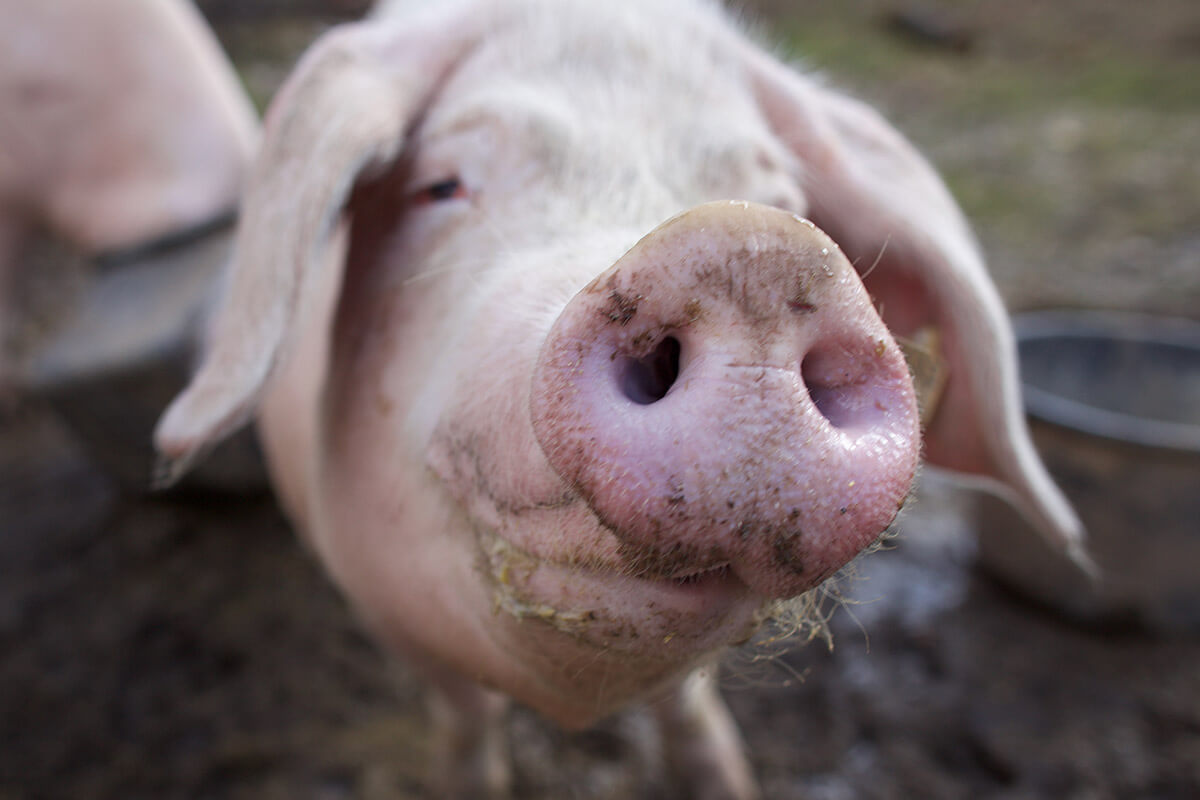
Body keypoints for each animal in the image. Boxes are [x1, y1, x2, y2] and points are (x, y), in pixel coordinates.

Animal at [152, 3, 1089, 796]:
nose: (750, 248)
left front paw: (725, 782)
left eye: (785, 203)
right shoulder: (377, 599)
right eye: (440, 185)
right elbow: (465, 715)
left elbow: (685, 699)